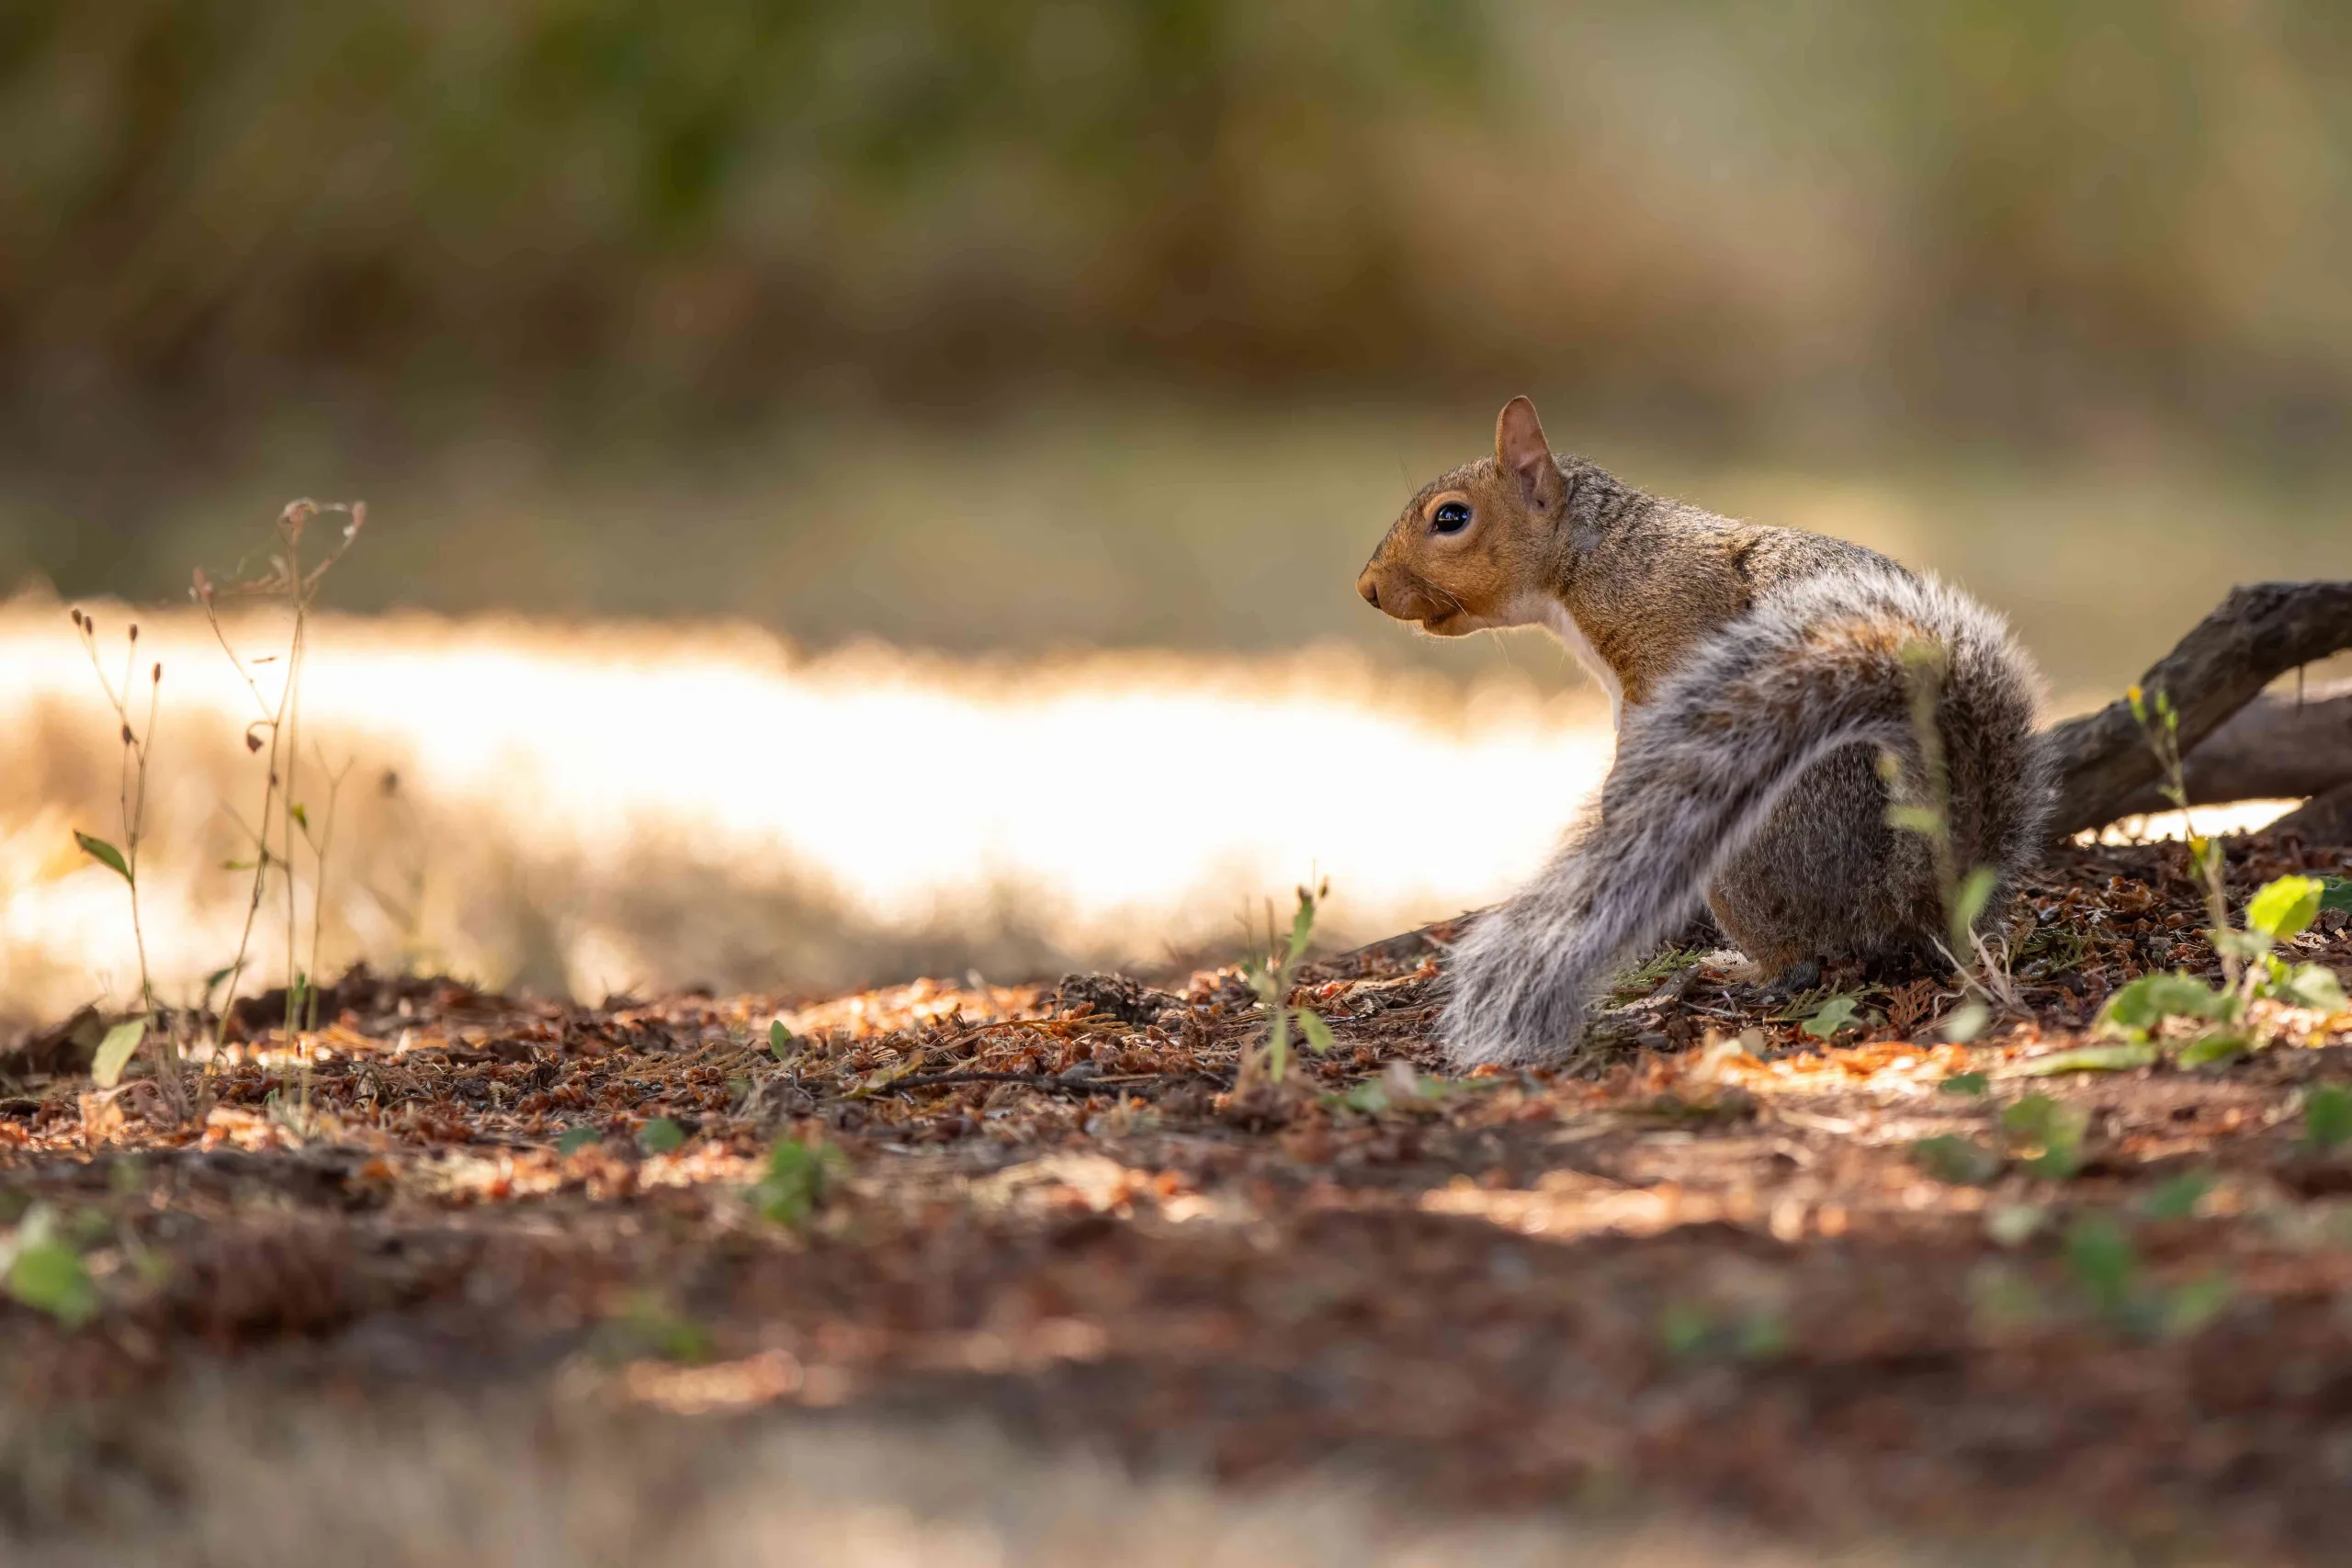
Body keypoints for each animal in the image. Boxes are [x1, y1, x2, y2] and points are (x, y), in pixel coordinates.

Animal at [1354, 400, 2051, 1072]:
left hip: (1744, 859)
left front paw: (1621, 795)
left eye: (1451, 517)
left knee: (1804, 961)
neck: (1592, 554)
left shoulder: (1678, 629)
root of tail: (1907, 902)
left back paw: (1734, 966)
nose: (1368, 589)